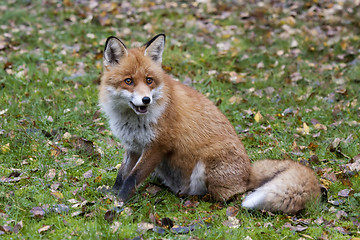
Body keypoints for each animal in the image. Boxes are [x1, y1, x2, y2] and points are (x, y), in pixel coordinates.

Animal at [98, 33, 320, 214]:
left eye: (149, 80)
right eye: (128, 81)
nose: (146, 100)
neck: (133, 120)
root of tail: (248, 172)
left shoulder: (158, 146)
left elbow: (132, 178)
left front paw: (118, 202)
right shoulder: (134, 146)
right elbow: (122, 175)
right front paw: (112, 194)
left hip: (207, 164)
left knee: (230, 194)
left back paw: (194, 197)